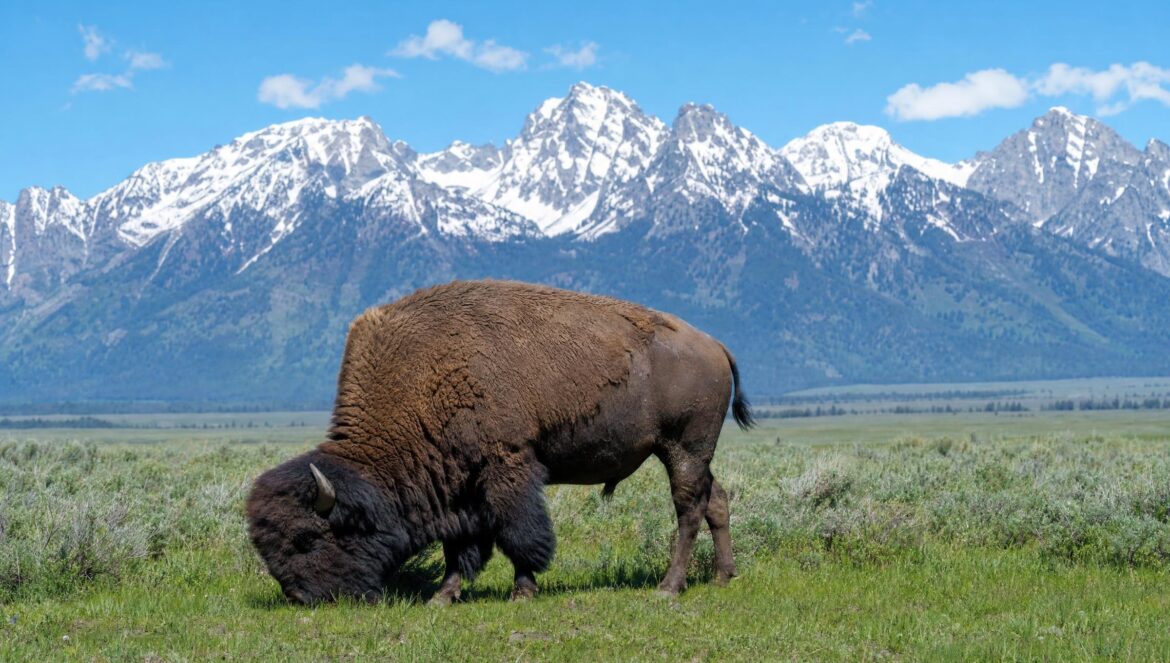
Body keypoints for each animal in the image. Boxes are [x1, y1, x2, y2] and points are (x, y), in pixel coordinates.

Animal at [246, 279, 752, 604]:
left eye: (308, 539)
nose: (300, 597)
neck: (421, 381)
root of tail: (714, 345)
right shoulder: (457, 487)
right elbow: (461, 546)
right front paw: (443, 596)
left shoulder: (507, 468)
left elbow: (518, 533)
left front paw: (522, 592)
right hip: (691, 454)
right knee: (716, 500)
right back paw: (723, 577)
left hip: (682, 447)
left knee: (688, 508)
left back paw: (668, 587)